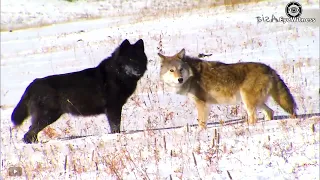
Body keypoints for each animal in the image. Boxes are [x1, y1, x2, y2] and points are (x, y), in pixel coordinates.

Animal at [10, 39, 149, 143]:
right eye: (129, 60)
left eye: (139, 59)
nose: (138, 70)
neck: (117, 74)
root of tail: (32, 84)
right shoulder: (112, 108)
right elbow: (115, 127)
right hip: (48, 116)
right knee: (29, 133)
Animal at [158, 48, 298, 129]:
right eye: (172, 70)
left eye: (180, 69)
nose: (180, 79)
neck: (192, 74)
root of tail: (269, 68)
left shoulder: (202, 103)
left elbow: (201, 123)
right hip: (256, 102)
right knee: (270, 112)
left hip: (248, 102)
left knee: (254, 118)